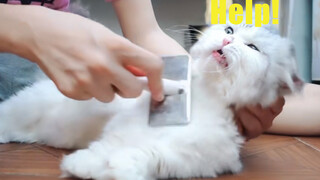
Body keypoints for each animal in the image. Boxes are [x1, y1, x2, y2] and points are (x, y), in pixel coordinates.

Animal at [0, 23, 302, 179]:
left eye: (252, 48)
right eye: (229, 30)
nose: (227, 41)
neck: (203, 97)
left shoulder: (181, 157)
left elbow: (137, 157)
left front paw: (102, 169)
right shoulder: (121, 132)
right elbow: (103, 149)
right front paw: (78, 165)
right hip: (27, 107)